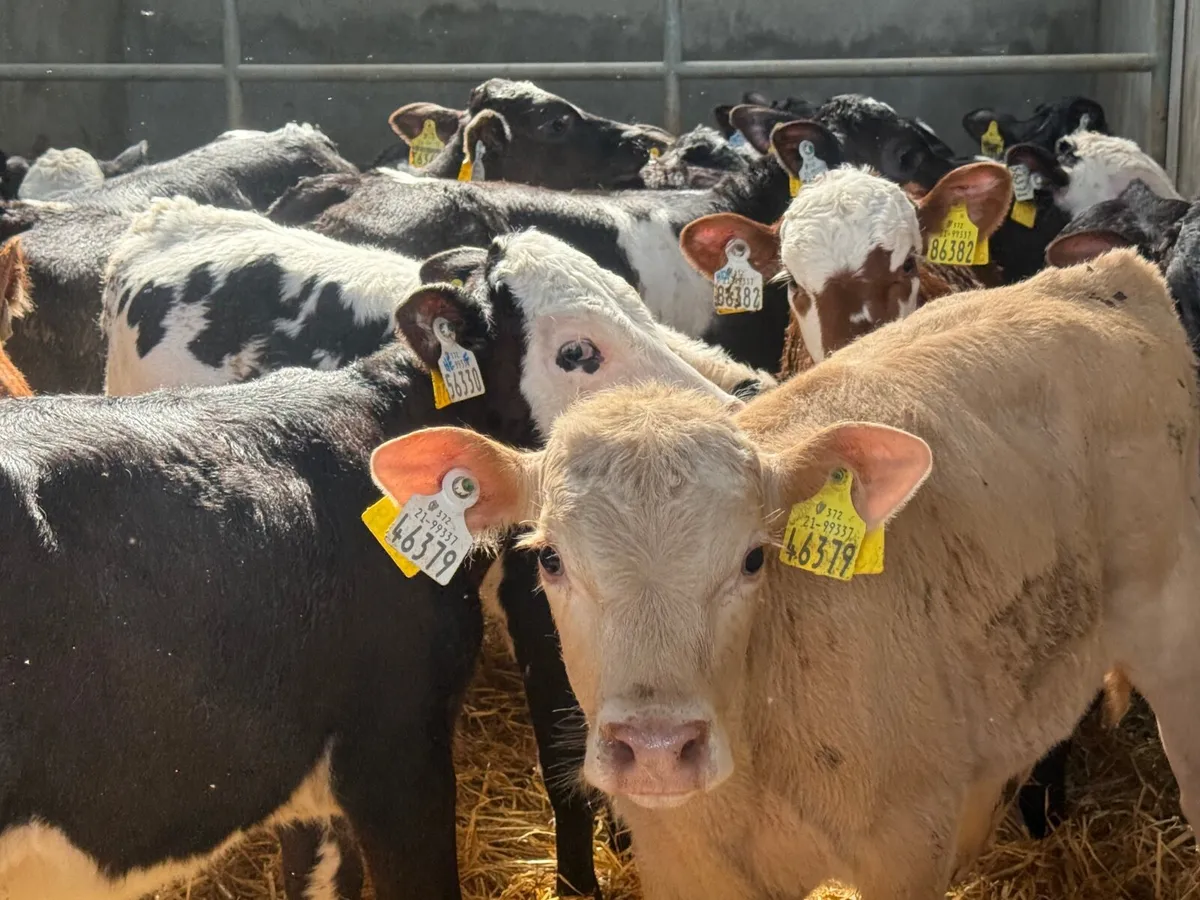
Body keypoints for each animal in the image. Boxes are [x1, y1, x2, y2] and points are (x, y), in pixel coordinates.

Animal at [371, 247, 1200, 899]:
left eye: (753, 558)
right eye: (550, 559)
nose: (657, 749)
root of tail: (1107, 272)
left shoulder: (906, 851)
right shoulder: (688, 868)